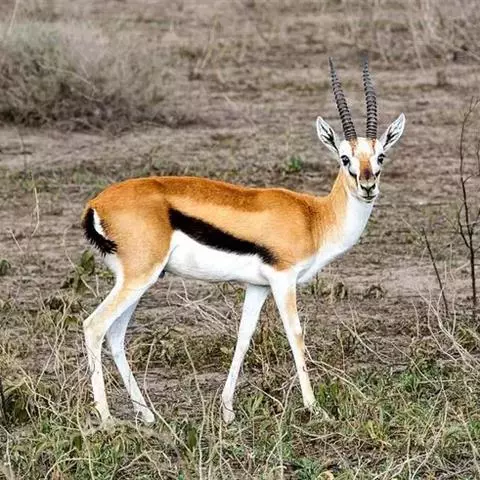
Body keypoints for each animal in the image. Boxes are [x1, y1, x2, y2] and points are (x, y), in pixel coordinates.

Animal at [82, 58, 405, 425]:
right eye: (344, 157)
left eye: (380, 156)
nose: (367, 186)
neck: (314, 217)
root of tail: (96, 203)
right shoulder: (283, 279)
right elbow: (295, 335)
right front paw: (315, 408)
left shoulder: (258, 286)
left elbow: (243, 337)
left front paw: (227, 410)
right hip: (139, 277)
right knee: (94, 326)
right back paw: (107, 420)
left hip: (139, 280)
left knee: (115, 334)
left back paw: (147, 415)